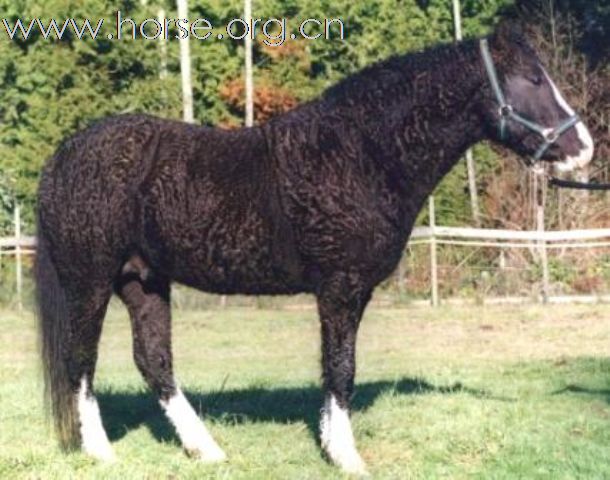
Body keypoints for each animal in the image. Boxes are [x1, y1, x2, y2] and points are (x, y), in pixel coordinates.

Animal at [36, 22, 588, 472]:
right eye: (533, 81)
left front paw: (329, 441)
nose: (583, 147)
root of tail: (65, 155)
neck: (361, 152)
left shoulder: (353, 291)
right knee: (80, 360)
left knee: (154, 362)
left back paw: (206, 449)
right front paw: (347, 457)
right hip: (90, 282)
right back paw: (101, 451)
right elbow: (342, 368)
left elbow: (334, 368)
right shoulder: (339, 286)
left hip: (143, 281)